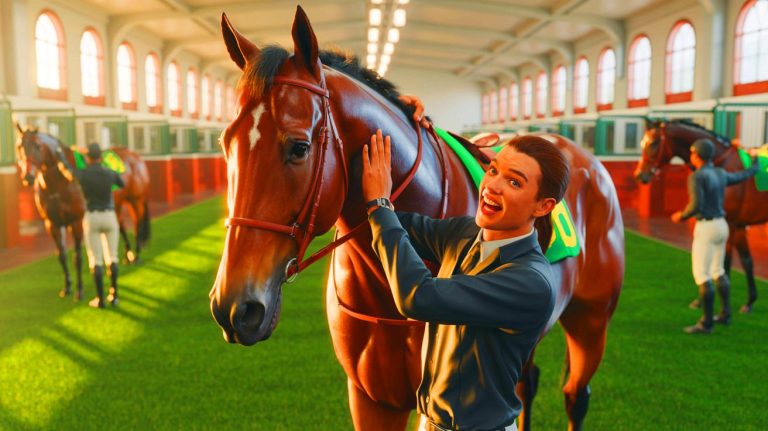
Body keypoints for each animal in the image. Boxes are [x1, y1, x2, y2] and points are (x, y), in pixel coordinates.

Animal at [16, 128, 152, 293]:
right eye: (19, 147)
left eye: (37, 146)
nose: (27, 176)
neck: (60, 183)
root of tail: (135, 156)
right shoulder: (52, 224)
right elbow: (61, 255)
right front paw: (67, 286)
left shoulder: (77, 221)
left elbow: (78, 256)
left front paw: (79, 289)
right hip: (116, 204)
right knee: (121, 227)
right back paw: (128, 255)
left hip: (136, 201)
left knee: (137, 225)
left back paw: (136, 256)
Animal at [209, 7, 624, 431]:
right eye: (226, 143)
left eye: (299, 147)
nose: (234, 307)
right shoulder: (372, 397)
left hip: (591, 323)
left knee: (575, 396)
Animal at [634, 119, 768, 313]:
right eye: (642, 143)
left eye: (653, 143)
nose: (639, 175)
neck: (721, 165)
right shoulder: (739, 225)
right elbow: (745, 261)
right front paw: (748, 301)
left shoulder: (730, 224)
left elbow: (726, 263)